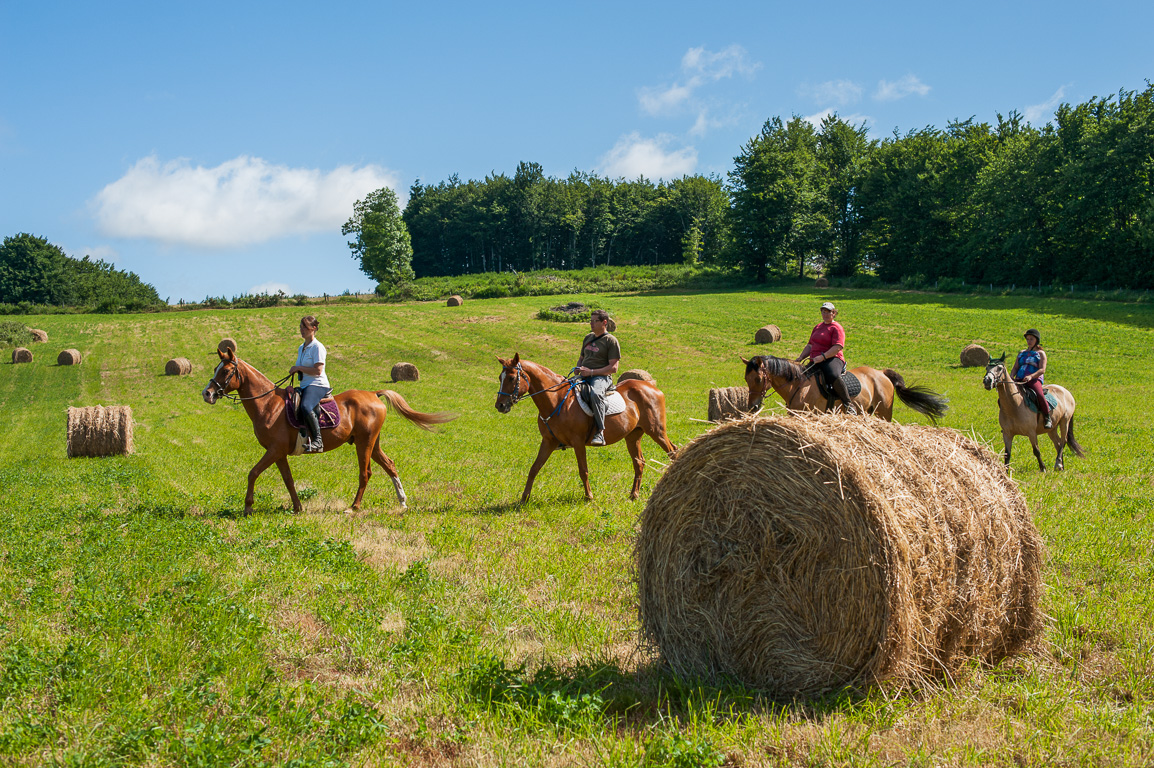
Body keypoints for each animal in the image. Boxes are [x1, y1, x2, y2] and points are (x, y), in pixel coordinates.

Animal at [200, 350, 452, 512]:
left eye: (227, 371)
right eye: (216, 368)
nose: (207, 393)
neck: (269, 405)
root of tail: (373, 393)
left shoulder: (274, 450)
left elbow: (252, 473)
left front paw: (248, 507)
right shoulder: (279, 453)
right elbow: (288, 480)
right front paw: (298, 507)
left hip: (364, 443)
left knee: (365, 473)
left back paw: (354, 507)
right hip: (372, 443)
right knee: (390, 465)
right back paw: (402, 501)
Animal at [496, 355, 673, 502]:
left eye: (512, 378)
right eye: (500, 378)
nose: (500, 405)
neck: (557, 400)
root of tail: (651, 386)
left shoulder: (578, 442)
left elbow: (583, 470)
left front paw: (589, 496)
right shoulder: (548, 441)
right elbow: (534, 468)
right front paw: (524, 498)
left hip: (657, 432)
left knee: (672, 452)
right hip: (632, 436)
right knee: (639, 462)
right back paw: (634, 495)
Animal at [743, 350, 950, 422]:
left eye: (758, 380)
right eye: (746, 380)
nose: (752, 406)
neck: (798, 385)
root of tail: (882, 373)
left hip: (884, 412)